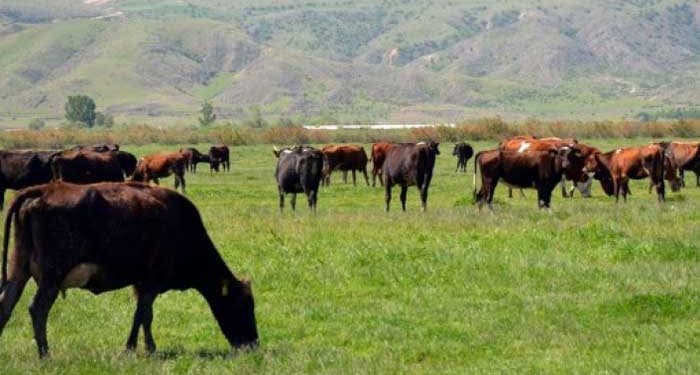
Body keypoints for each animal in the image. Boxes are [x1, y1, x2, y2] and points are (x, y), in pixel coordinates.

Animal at [0, 182, 258, 358]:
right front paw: (133, 348)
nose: (253, 344)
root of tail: (44, 189)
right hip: (52, 277)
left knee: (6, 305)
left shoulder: (141, 283)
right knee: (38, 309)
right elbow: (142, 315)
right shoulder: (152, 282)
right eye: (242, 305)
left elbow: (145, 316)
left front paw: (147, 347)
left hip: (18, 270)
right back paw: (45, 355)